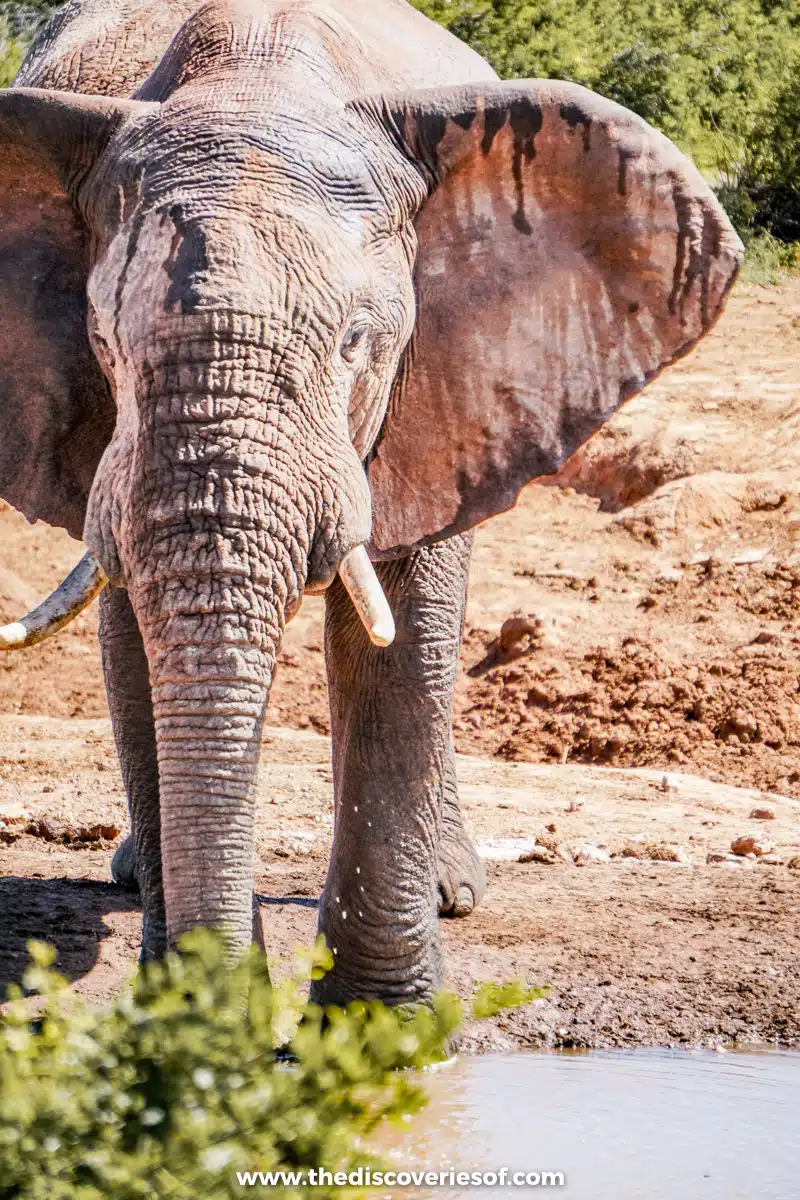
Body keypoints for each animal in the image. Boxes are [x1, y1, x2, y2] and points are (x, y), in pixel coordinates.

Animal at [0, 0, 743, 1003]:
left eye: (356, 341)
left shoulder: (439, 382)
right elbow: (138, 642)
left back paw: (453, 890)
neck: (260, 77)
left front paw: (380, 1021)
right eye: (104, 342)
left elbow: (406, 631)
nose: (225, 1008)